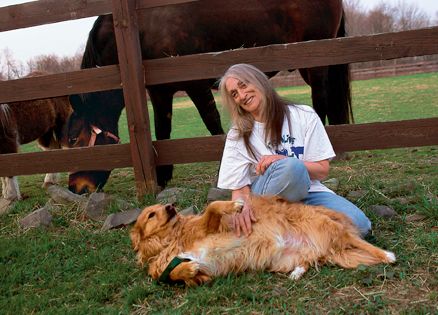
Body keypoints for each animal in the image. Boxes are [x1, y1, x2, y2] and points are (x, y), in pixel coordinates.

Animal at [0, 71, 72, 201]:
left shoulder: (7, 142)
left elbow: (8, 171)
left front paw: (12, 196)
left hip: (62, 125)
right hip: (45, 131)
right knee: (54, 149)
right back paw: (49, 181)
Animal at [65, 0, 352, 195]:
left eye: (74, 138)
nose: (75, 186)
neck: (143, 27)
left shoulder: (195, 85)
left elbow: (211, 122)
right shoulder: (160, 92)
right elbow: (163, 130)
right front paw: (163, 178)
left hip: (315, 59)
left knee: (321, 99)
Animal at [131, 195, 396, 286]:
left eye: (159, 208)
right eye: (151, 214)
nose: (170, 206)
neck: (172, 240)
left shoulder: (211, 225)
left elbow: (213, 206)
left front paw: (235, 205)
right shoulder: (200, 278)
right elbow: (179, 274)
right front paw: (187, 268)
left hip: (329, 227)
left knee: (359, 241)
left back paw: (387, 255)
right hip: (284, 259)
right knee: (307, 260)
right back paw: (297, 272)